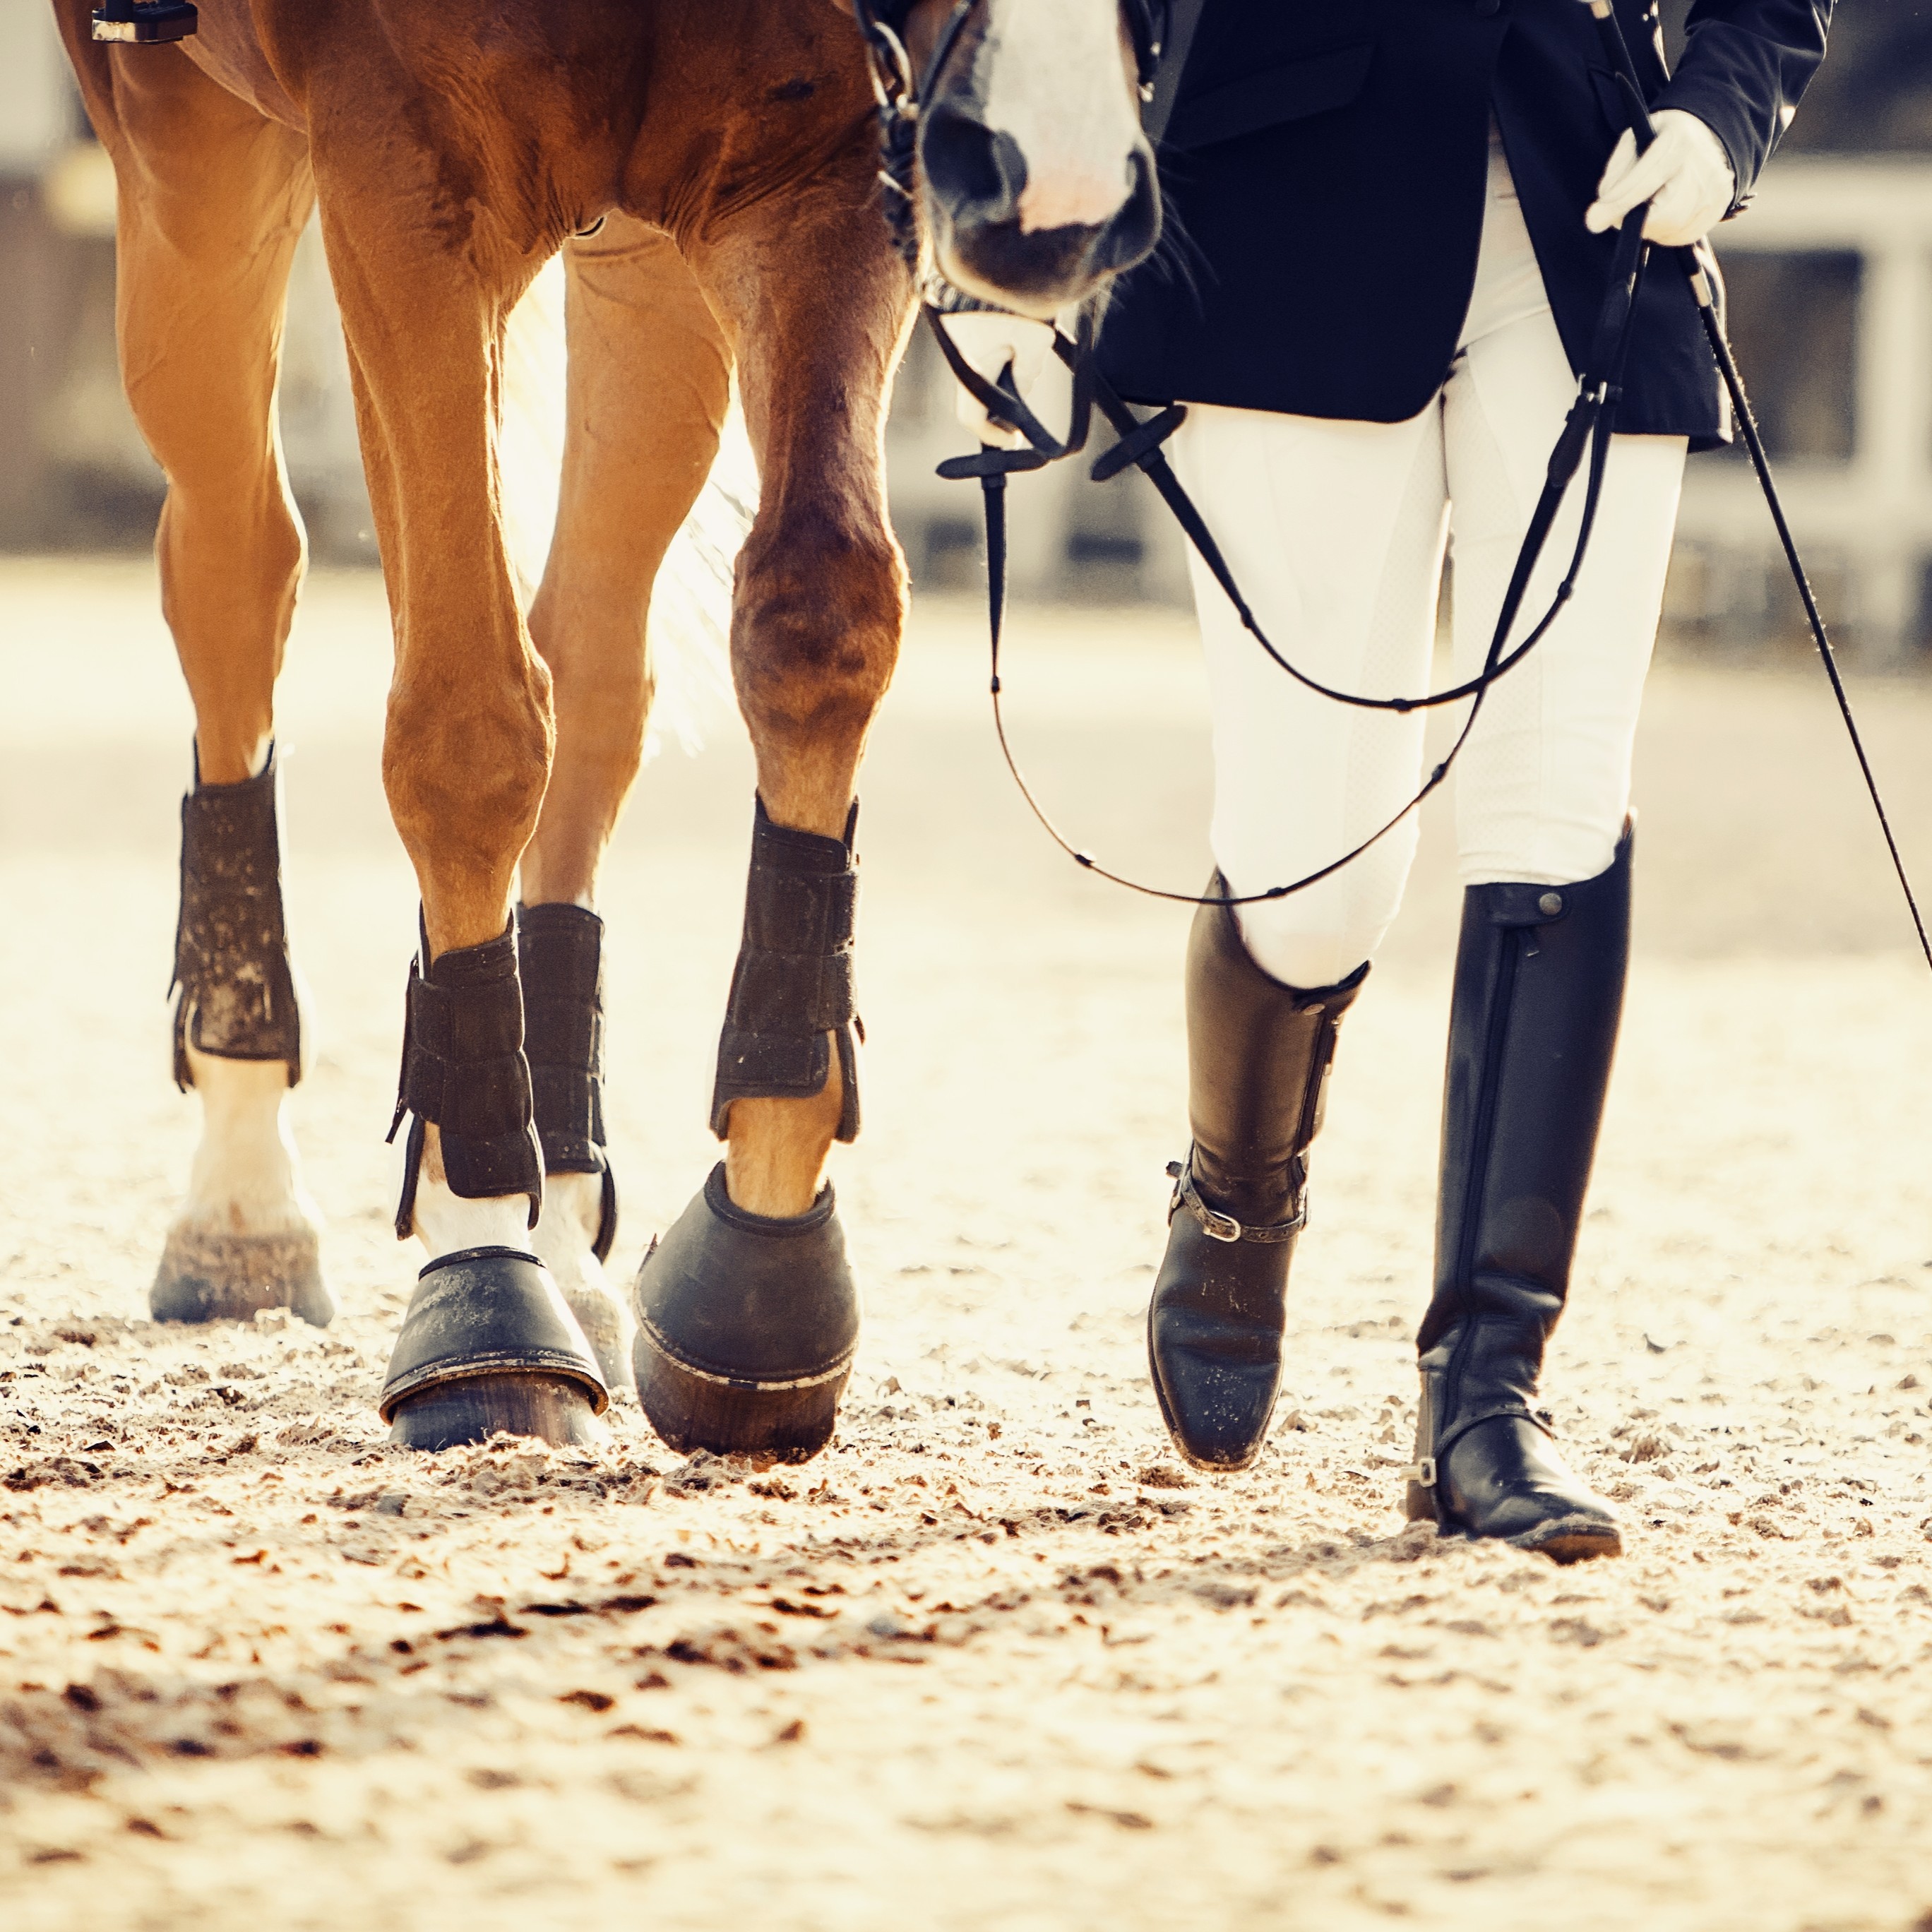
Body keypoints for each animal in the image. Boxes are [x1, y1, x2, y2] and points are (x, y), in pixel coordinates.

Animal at [53, 0, 1159, 1457]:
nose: (1059, 188)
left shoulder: (822, 175)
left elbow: (816, 615)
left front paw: (758, 1266)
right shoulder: (402, 175)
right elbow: (466, 728)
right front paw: (478, 1259)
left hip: (641, 260)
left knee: (587, 660)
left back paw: (568, 1225)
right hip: (190, 151)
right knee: (238, 565)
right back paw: (245, 1200)